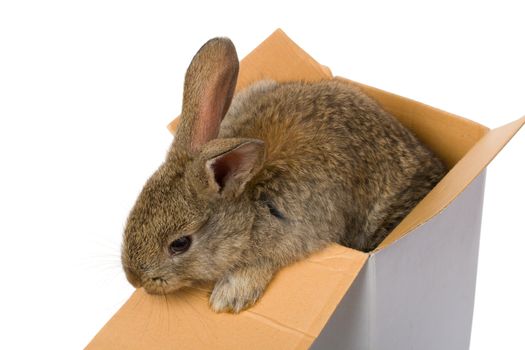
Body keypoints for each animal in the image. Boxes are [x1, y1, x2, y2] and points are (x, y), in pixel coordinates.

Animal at [122, 37, 446, 314]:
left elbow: (263, 262)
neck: (247, 204)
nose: (134, 279)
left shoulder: (297, 231)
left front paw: (229, 297)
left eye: (180, 244)